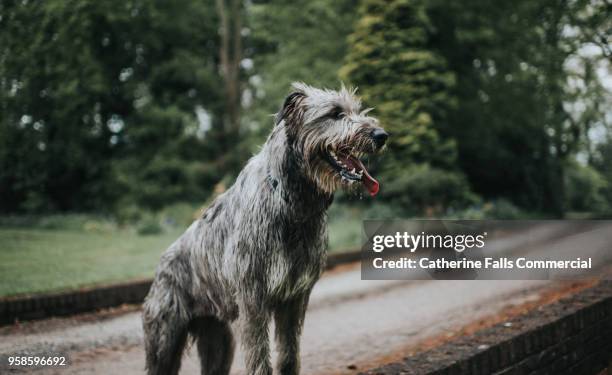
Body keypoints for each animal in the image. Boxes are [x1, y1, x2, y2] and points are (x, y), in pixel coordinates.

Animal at [143, 83, 388, 375]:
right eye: (336, 113)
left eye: (357, 110)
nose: (382, 135)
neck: (292, 204)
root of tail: (161, 264)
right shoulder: (252, 299)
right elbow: (259, 358)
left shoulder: (295, 298)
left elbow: (288, 354)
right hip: (164, 340)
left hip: (218, 341)